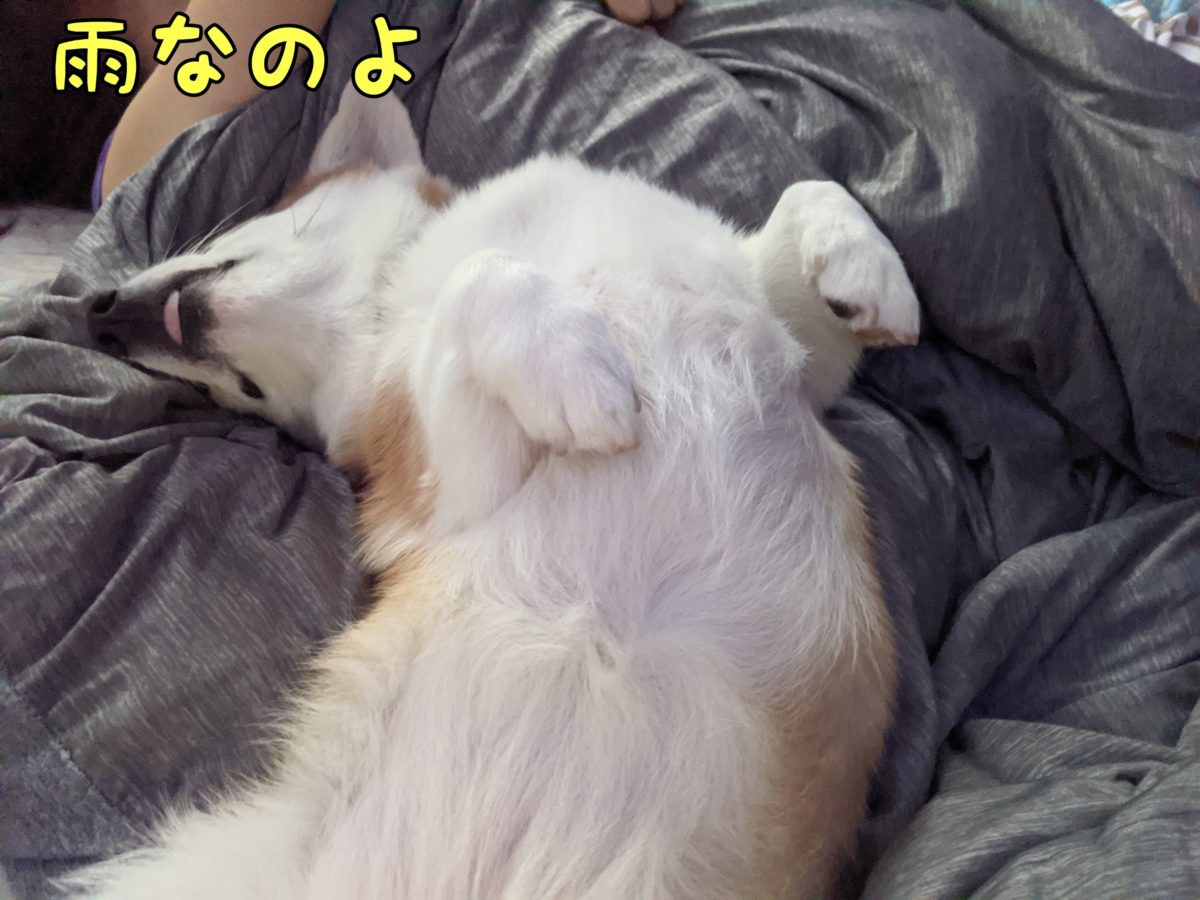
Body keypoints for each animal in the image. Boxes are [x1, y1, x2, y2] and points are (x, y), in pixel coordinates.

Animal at [77, 83, 918, 899]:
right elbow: (481, 275)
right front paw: (575, 369)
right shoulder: (455, 491)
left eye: (242, 388)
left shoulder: (797, 357)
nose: (100, 319)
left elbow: (810, 194)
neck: (376, 299)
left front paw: (872, 276)